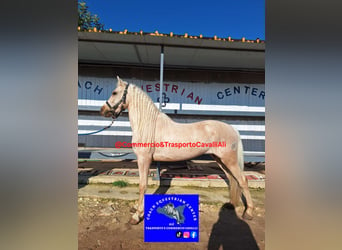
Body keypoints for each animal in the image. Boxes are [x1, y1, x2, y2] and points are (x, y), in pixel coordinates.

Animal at [100, 76, 252, 225]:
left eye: (114, 92)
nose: (102, 110)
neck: (148, 125)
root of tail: (232, 128)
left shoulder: (144, 159)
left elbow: (142, 185)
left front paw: (137, 216)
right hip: (220, 160)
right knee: (233, 179)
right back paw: (231, 205)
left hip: (229, 160)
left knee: (243, 180)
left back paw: (248, 212)